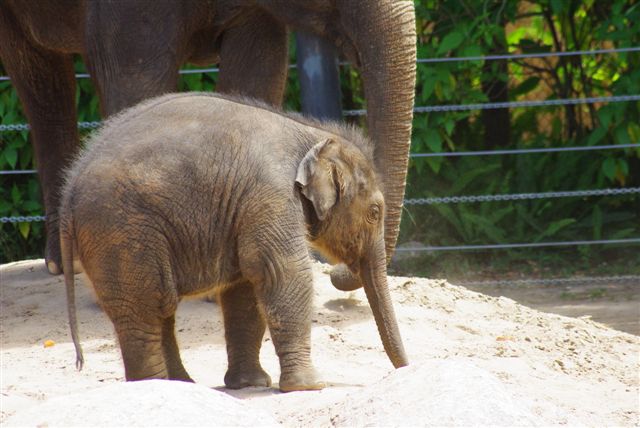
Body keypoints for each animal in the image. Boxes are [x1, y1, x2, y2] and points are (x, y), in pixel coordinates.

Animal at [60, 92, 408, 391]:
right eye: (375, 213)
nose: (405, 368)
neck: (310, 134)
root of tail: (69, 189)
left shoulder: (247, 209)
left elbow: (244, 290)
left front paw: (250, 384)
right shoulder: (271, 195)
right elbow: (285, 274)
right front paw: (309, 386)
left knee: (160, 307)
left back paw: (184, 385)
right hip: (122, 233)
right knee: (146, 307)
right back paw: (158, 387)